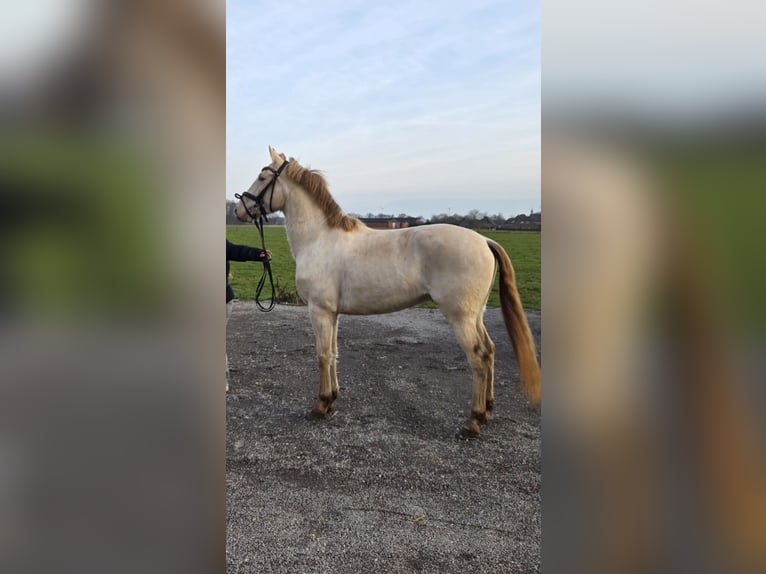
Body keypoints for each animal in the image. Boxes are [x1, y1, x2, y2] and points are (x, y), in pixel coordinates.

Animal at [235, 146, 540, 437]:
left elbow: (322, 355)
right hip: (476, 315)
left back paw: (473, 421)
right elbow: (332, 353)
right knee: (490, 350)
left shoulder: (319, 310)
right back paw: (487, 409)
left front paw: (320, 405)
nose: (239, 210)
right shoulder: (332, 313)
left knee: (478, 357)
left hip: (460, 317)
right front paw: (332, 399)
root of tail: (484, 240)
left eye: (262, 177)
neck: (319, 239)